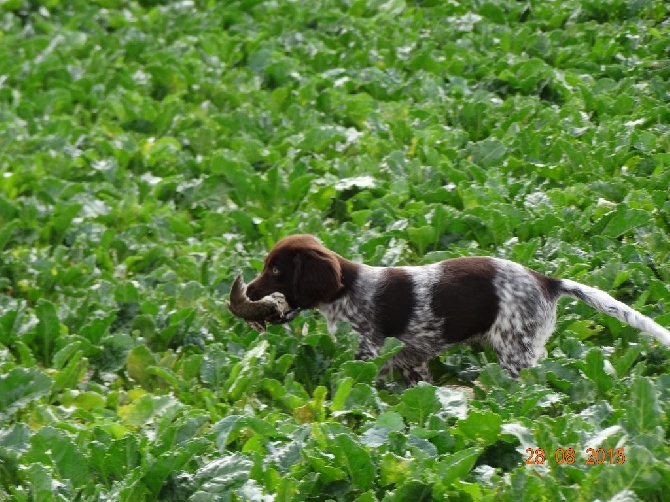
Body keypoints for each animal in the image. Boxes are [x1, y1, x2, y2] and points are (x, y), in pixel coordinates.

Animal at [247, 233, 670, 382]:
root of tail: (545, 280)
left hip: (515, 353)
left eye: (276, 270)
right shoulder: (413, 358)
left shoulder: (370, 350)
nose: (249, 290)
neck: (349, 290)